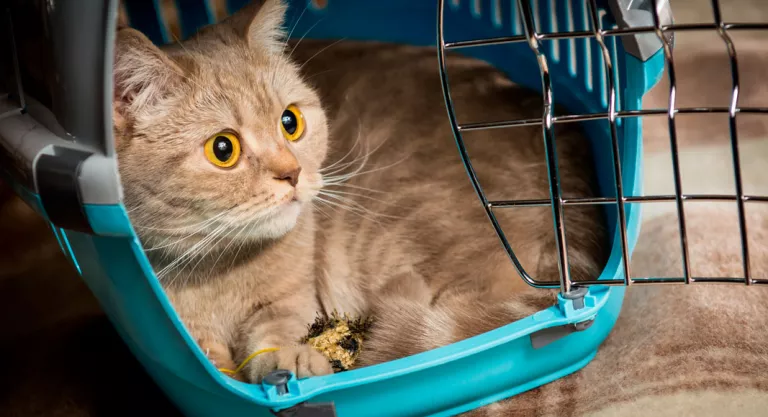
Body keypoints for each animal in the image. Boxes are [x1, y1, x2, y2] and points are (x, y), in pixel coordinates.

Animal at [112, 0, 608, 384]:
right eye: (223, 149)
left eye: (290, 121)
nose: (292, 174)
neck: (215, 270)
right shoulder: (191, 335)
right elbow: (214, 363)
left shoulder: (294, 300)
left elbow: (273, 333)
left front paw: (292, 361)